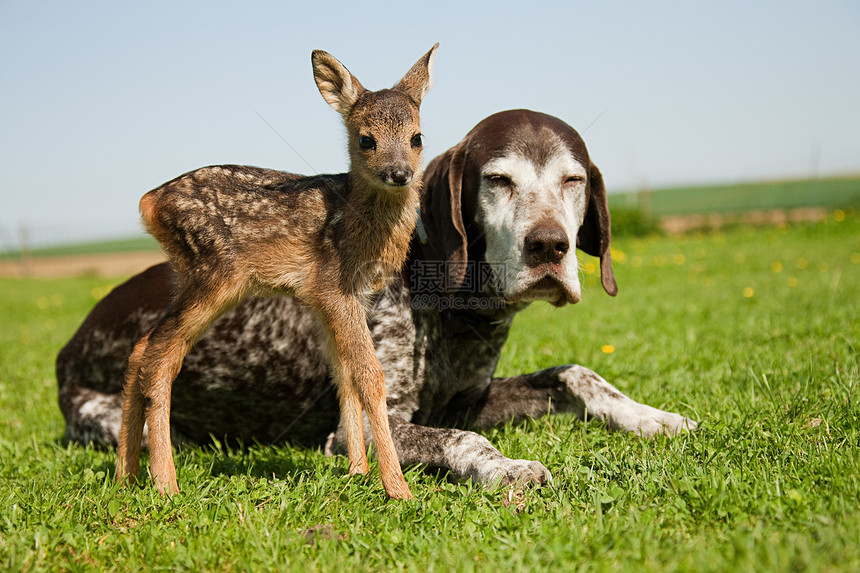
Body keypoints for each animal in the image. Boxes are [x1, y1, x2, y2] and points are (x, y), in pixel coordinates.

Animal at [57, 108, 696, 488]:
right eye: (497, 180)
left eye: (574, 180)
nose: (548, 246)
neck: (453, 311)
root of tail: (70, 343)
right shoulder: (359, 429)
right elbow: (465, 440)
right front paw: (506, 467)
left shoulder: (466, 400)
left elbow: (576, 374)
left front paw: (653, 416)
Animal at [115, 44, 440, 498]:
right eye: (366, 140)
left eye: (417, 137)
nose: (399, 173)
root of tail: (149, 202)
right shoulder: (336, 288)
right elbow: (370, 376)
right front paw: (397, 487)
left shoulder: (332, 298)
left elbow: (343, 375)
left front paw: (357, 472)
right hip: (214, 272)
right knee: (160, 357)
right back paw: (165, 483)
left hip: (188, 276)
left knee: (142, 348)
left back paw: (124, 475)